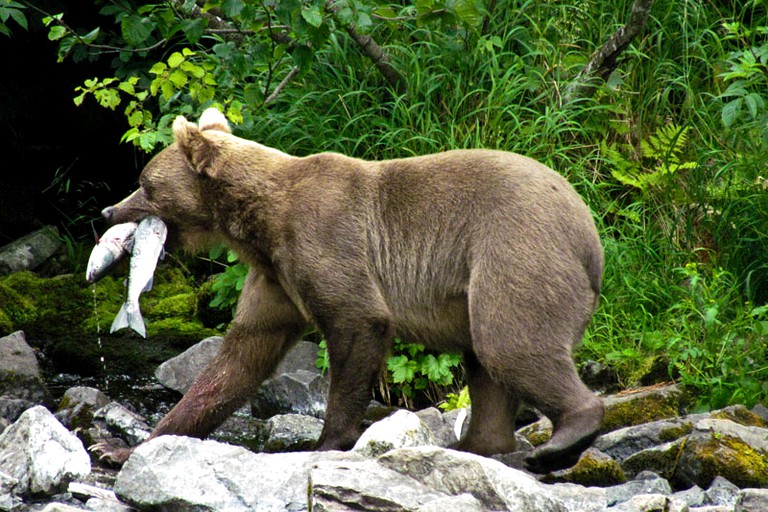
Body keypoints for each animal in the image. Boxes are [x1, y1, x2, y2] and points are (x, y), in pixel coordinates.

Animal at [93, 107, 604, 472]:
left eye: (144, 184)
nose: (107, 211)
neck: (259, 222)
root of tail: (591, 235)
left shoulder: (321, 238)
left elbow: (358, 322)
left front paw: (326, 442)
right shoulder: (276, 278)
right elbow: (237, 359)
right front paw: (119, 449)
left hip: (515, 249)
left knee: (508, 342)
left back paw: (563, 436)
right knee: (486, 363)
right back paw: (479, 444)